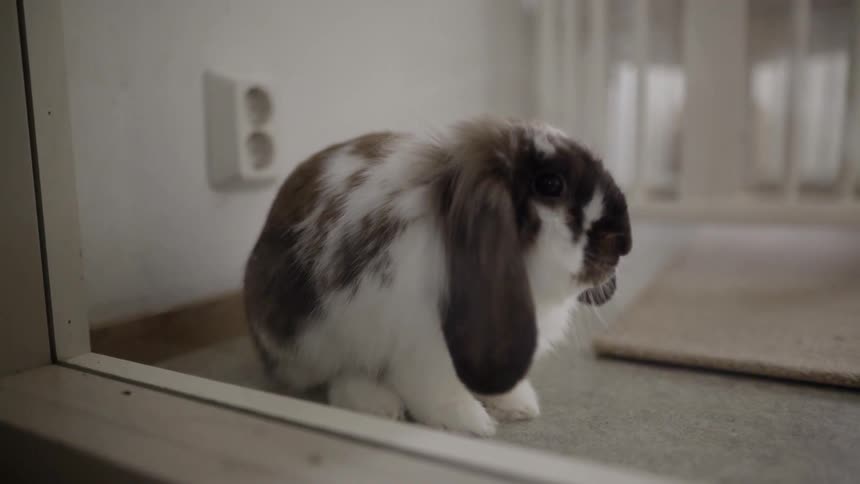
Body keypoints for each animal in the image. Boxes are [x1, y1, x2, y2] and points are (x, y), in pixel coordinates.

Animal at [243, 117, 631, 437]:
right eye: (551, 184)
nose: (625, 243)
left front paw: (516, 405)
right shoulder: (422, 346)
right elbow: (435, 389)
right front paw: (470, 421)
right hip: (313, 342)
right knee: (339, 375)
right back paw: (378, 405)